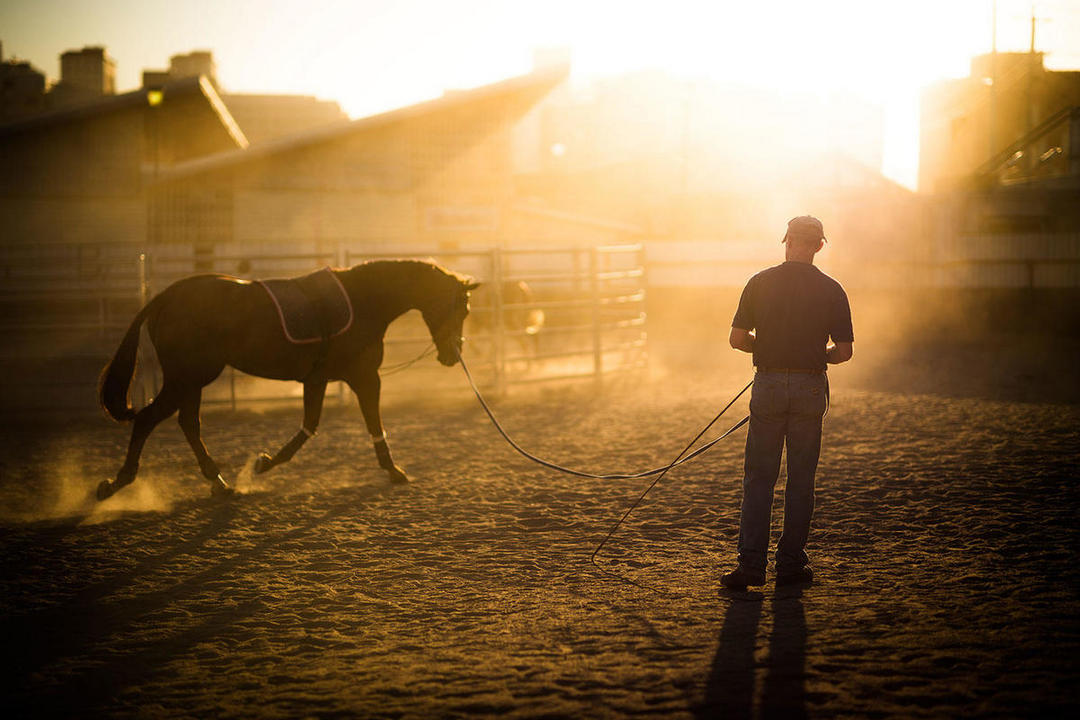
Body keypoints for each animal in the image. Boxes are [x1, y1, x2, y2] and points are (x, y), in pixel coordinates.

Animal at [96, 259, 477, 500]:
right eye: (464, 308)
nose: (452, 354)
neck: (363, 300)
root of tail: (166, 297)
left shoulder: (318, 379)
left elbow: (309, 426)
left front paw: (263, 463)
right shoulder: (365, 377)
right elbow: (372, 422)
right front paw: (394, 470)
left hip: (191, 380)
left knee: (188, 424)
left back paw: (219, 483)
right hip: (186, 378)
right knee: (148, 420)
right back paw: (116, 483)